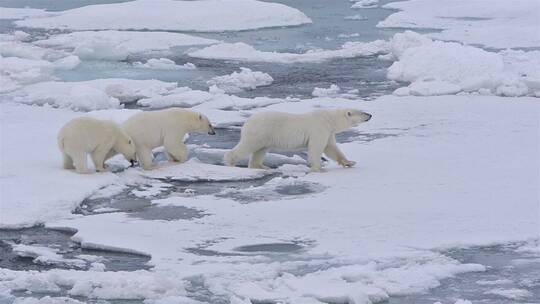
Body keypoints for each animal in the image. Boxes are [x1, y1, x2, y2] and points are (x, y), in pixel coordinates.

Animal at [224, 108, 372, 171]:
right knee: (248, 146)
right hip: (259, 131)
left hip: (265, 135)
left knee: (261, 150)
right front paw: (318, 168)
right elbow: (316, 148)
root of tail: (247, 121)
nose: (370, 115)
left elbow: (331, 148)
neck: (329, 119)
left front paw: (350, 162)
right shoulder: (319, 129)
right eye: (362, 112)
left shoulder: (328, 132)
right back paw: (230, 162)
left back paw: (261, 166)